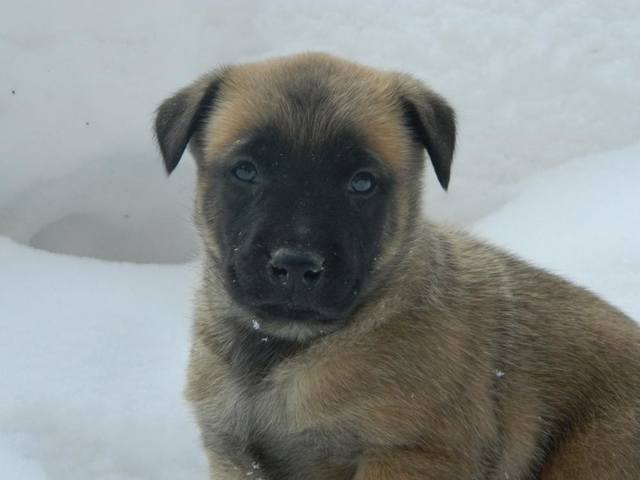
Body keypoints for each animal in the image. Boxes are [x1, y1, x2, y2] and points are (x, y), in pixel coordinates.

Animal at [155, 50, 640, 478]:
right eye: (246, 171)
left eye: (362, 183)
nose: (294, 265)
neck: (285, 351)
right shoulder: (233, 454)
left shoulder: (409, 452)